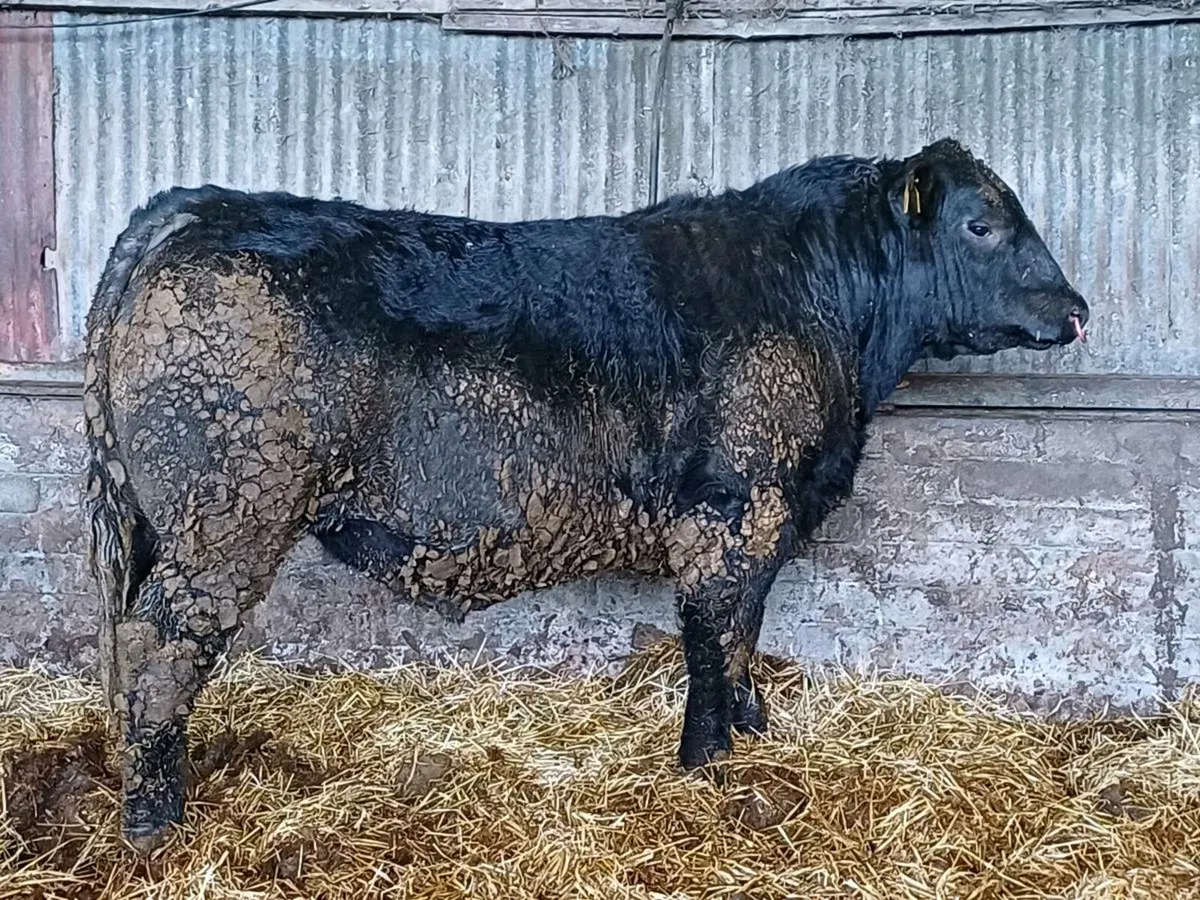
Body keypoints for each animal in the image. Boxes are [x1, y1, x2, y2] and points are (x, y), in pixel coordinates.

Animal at [82, 138, 1088, 852]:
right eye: (982, 226)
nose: (1078, 309)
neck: (824, 305)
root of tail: (198, 208)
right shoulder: (730, 507)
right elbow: (713, 635)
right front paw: (707, 765)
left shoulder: (763, 517)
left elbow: (747, 630)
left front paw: (753, 733)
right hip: (227, 515)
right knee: (160, 645)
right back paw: (155, 823)